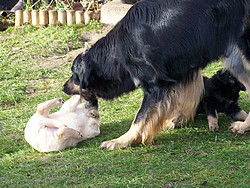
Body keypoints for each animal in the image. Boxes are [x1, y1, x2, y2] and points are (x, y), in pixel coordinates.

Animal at [63, 0, 250, 150]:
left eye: (74, 75)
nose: (63, 88)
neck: (119, 50)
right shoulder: (182, 72)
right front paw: (174, 120)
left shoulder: (155, 84)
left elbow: (140, 117)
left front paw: (122, 141)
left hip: (238, 55)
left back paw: (242, 126)